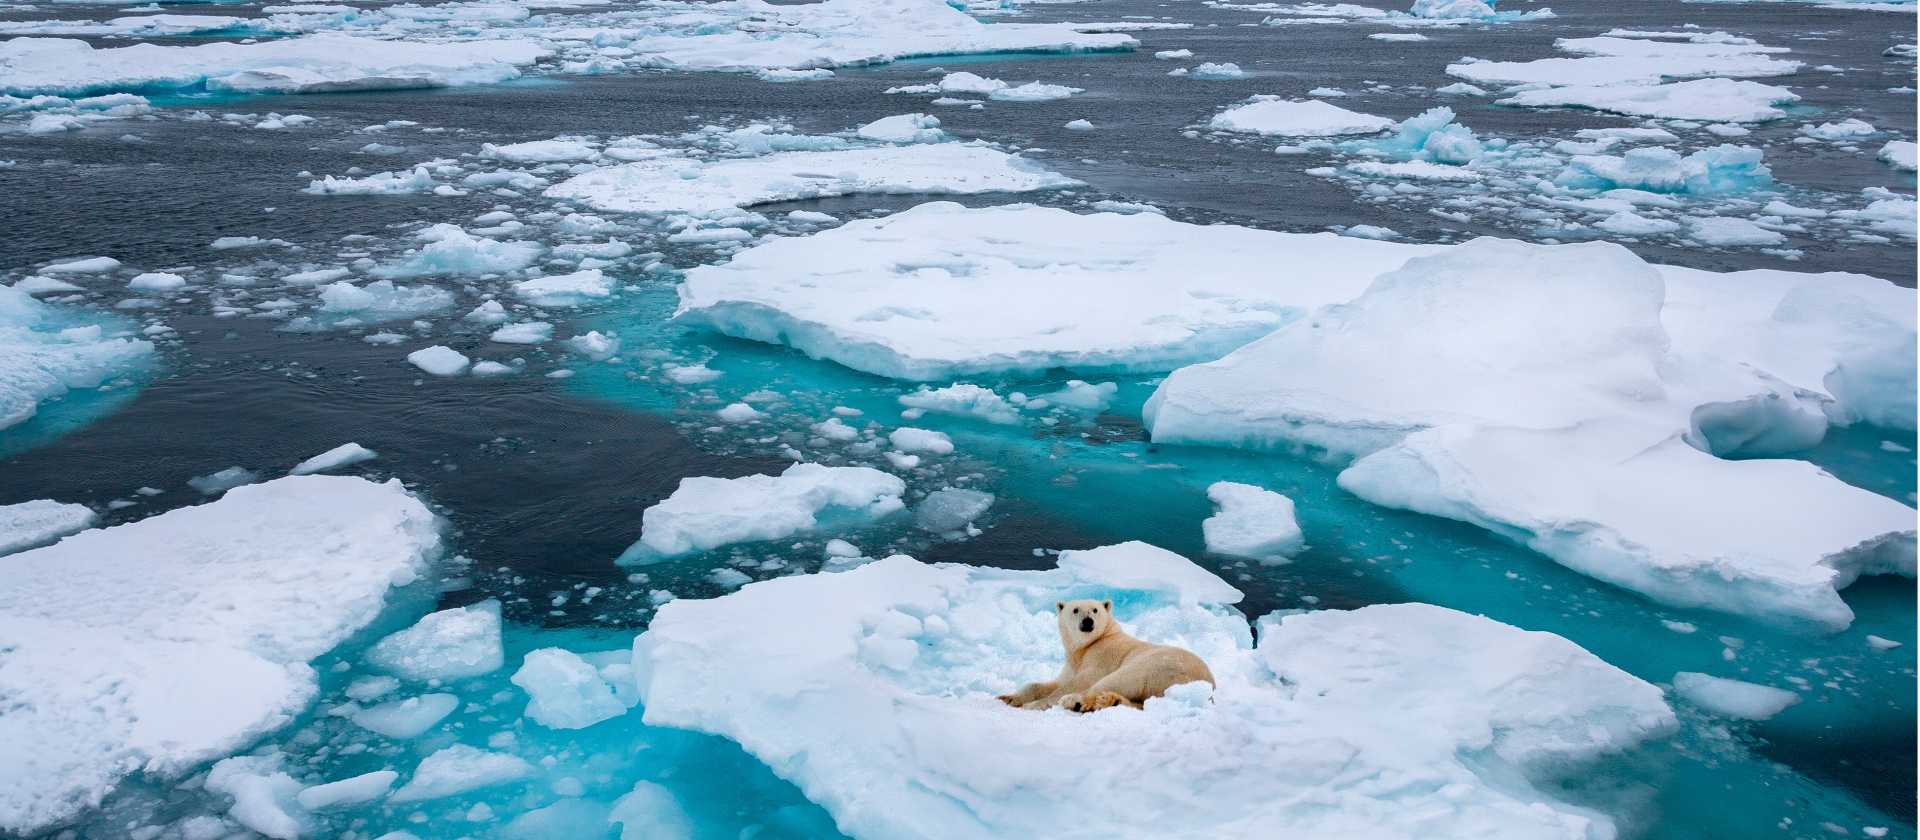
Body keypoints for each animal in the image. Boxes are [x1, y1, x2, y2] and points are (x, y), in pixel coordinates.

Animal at [997, 598, 1215, 713]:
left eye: (1095, 610)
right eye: (1075, 610)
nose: (1088, 621)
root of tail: (1206, 684)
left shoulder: (1104, 655)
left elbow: (1081, 681)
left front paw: (1032, 705)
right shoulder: (1073, 663)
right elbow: (1052, 682)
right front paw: (1008, 698)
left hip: (1155, 665)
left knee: (1118, 679)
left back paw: (1076, 701)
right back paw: (1111, 701)